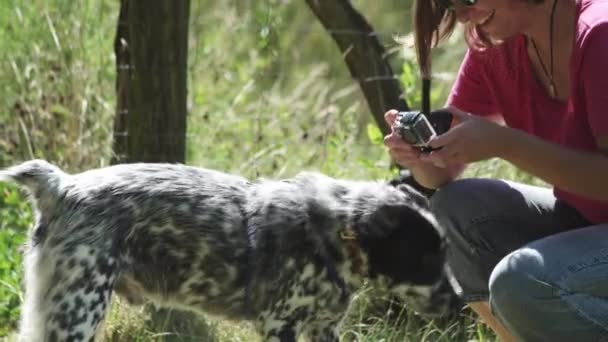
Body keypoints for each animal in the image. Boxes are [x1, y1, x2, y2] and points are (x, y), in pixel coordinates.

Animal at [2, 161, 454, 342]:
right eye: (425, 258)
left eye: (444, 253)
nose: (459, 300)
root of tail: (62, 186)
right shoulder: (280, 325)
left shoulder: (324, 328)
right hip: (77, 313)